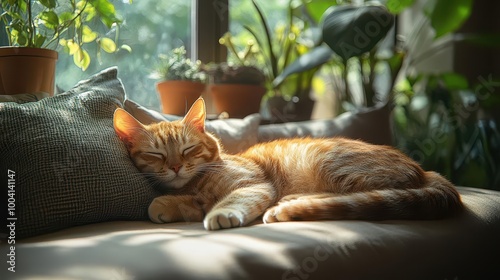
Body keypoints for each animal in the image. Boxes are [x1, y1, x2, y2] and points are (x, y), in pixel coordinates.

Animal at [114, 98, 464, 230]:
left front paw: (220, 214)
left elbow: (231, 200)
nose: (175, 167)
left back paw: (290, 203)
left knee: (357, 198)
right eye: (156, 155)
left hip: (331, 165)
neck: (197, 182)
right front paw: (167, 204)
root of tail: (424, 170)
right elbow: (180, 203)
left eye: (188, 150)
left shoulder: (254, 184)